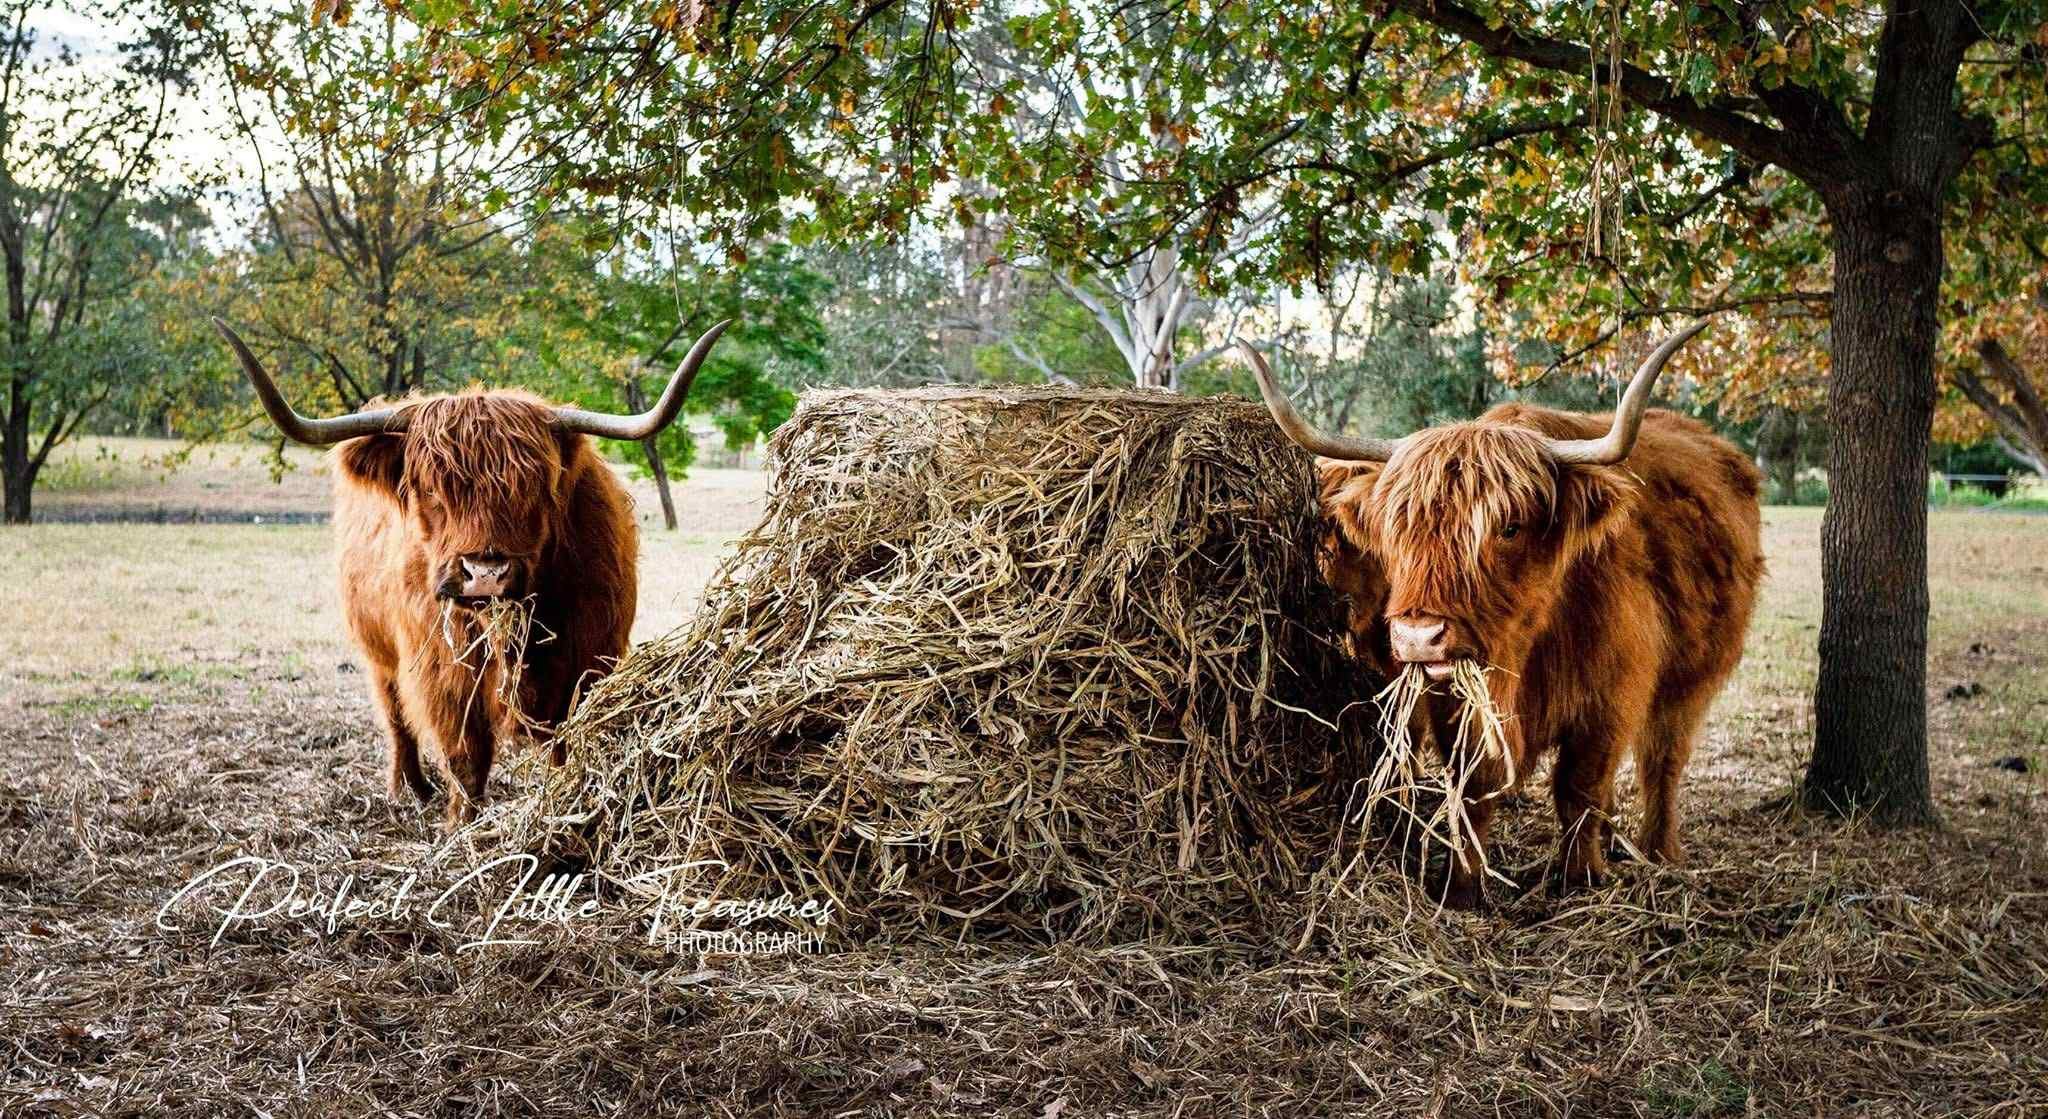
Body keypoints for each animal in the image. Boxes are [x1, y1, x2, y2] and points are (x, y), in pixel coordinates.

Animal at [214, 318, 730, 827]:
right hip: (378, 651)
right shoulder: (442, 670)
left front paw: (564, 803)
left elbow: (567, 739)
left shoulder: (589, 655)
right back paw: (409, 789)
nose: (485, 572)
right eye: (428, 488)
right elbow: (464, 752)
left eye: (534, 486)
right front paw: (462, 824)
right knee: (395, 716)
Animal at [1243, 322, 1764, 906]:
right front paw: (1462, 885)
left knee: (1664, 759)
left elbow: (1580, 786)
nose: (1418, 636)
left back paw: (1659, 849)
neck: (1528, 644)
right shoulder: (1453, 697)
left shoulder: (1610, 695)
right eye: (1395, 531)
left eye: (1509, 528)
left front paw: (1579, 878)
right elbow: (1472, 787)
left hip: (1691, 677)